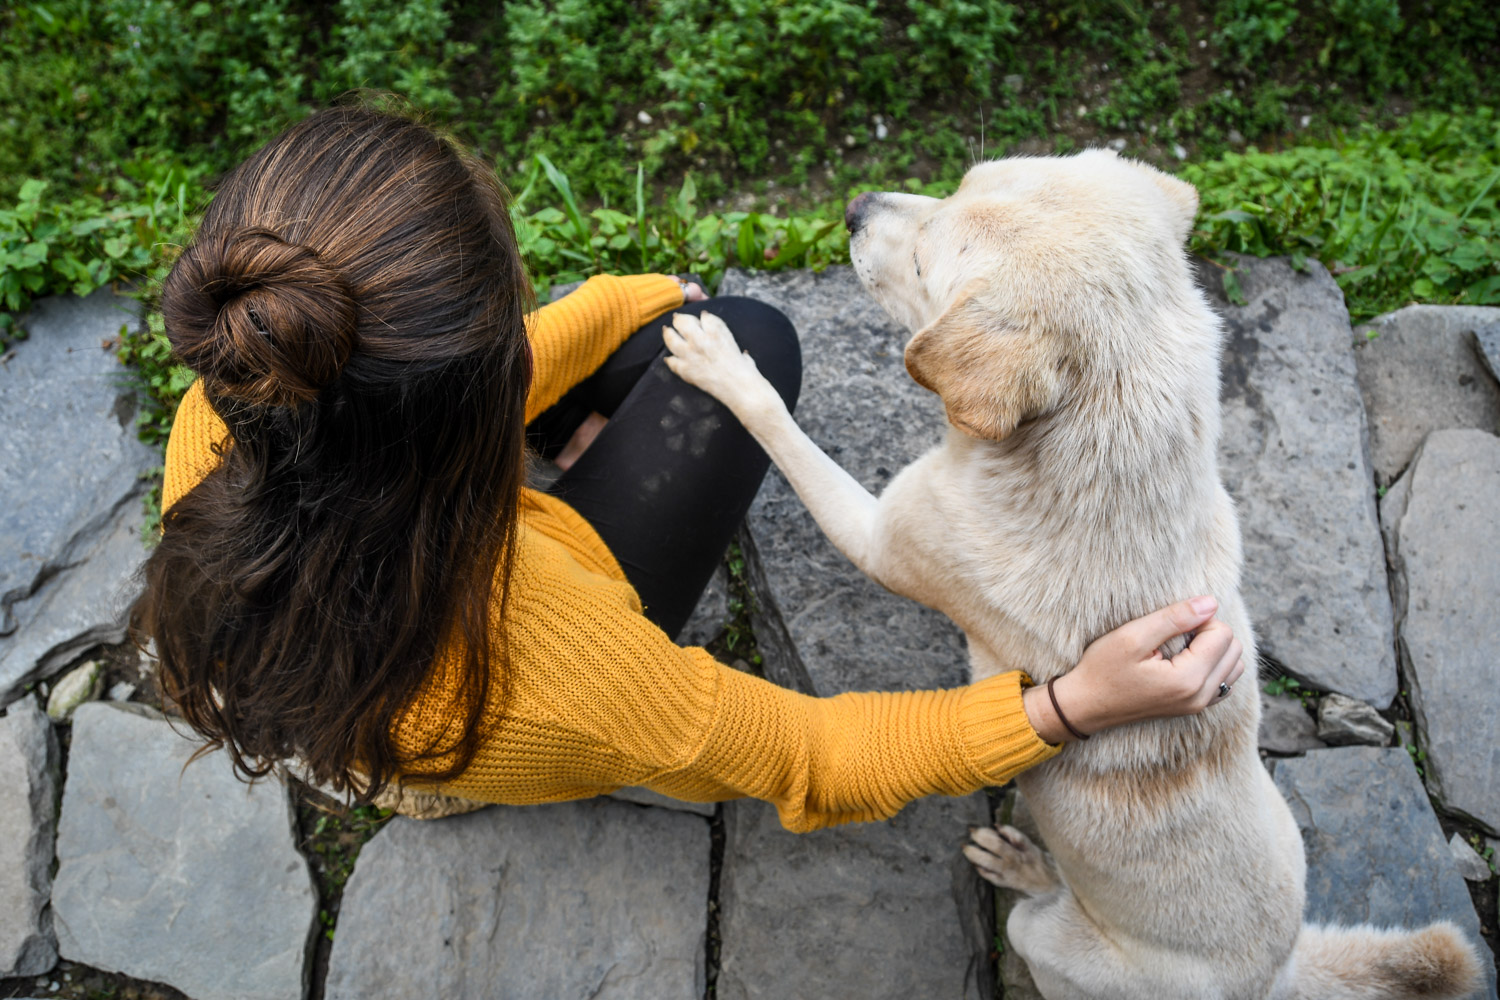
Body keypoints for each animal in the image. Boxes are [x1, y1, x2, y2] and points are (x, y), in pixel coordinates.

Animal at [663, 150, 1482, 1000]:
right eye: (958, 181)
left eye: (923, 264)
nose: (853, 206)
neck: (1095, 463)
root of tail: (1277, 976)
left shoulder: (881, 537)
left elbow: (781, 430)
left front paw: (723, 363)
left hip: (1047, 939)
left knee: (1037, 918)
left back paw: (1025, 869)